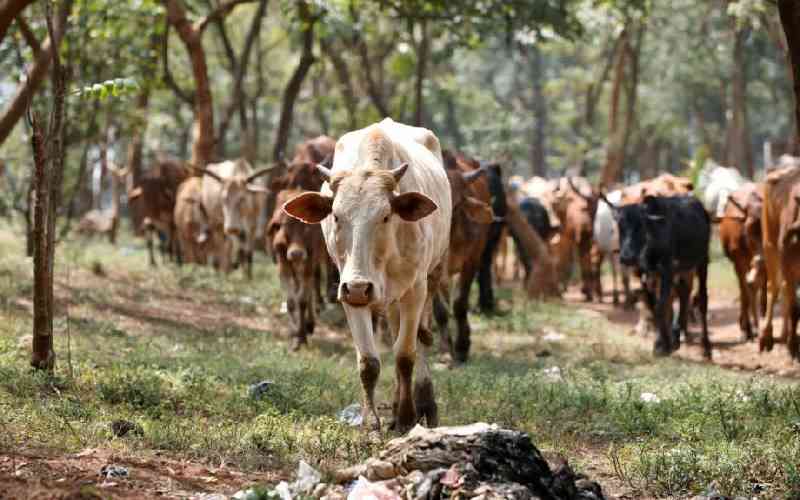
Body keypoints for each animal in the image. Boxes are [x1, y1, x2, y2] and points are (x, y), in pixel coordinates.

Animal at [284, 119, 454, 432]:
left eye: (385, 216)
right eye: (336, 216)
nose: (359, 287)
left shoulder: (415, 290)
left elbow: (405, 355)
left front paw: (407, 418)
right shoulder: (349, 292)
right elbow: (369, 362)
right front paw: (372, 423)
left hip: (432, 276)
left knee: (422, 339)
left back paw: (425, 405)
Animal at [608, 193, 712, 358]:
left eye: (641, 226)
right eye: (620, 226)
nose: (627, 257)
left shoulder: (667, 270)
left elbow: (660, 306)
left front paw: (662, 345)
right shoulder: (648, 276)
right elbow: (654, 306)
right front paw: (663, 343)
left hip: (702, 261)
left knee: (702, 299)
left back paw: (706, 348)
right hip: (683, 270)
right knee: (684, 294)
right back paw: (676, 335)